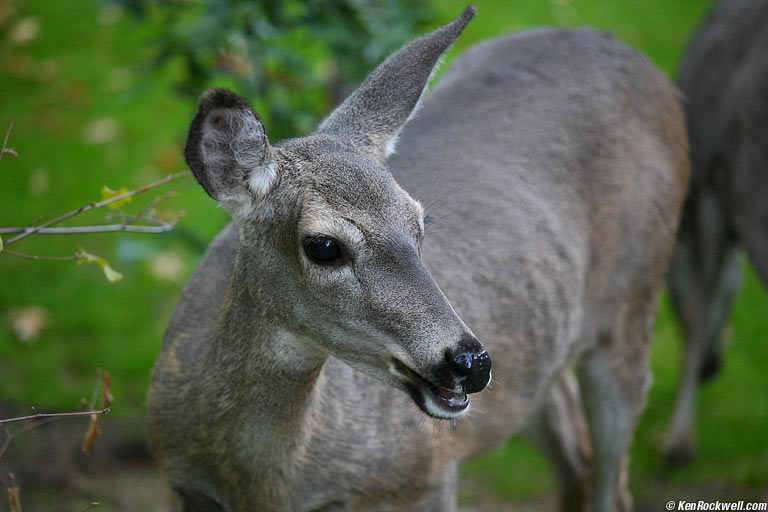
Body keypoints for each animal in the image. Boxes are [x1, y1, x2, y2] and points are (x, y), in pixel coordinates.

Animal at [147, 6, 689, 511]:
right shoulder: (182, 484)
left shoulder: (425, 475)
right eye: (324, 246)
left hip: (633, 305)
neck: (265, 485)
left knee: (612, 481)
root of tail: (648, 68)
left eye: (419, 223)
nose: (471, 362)